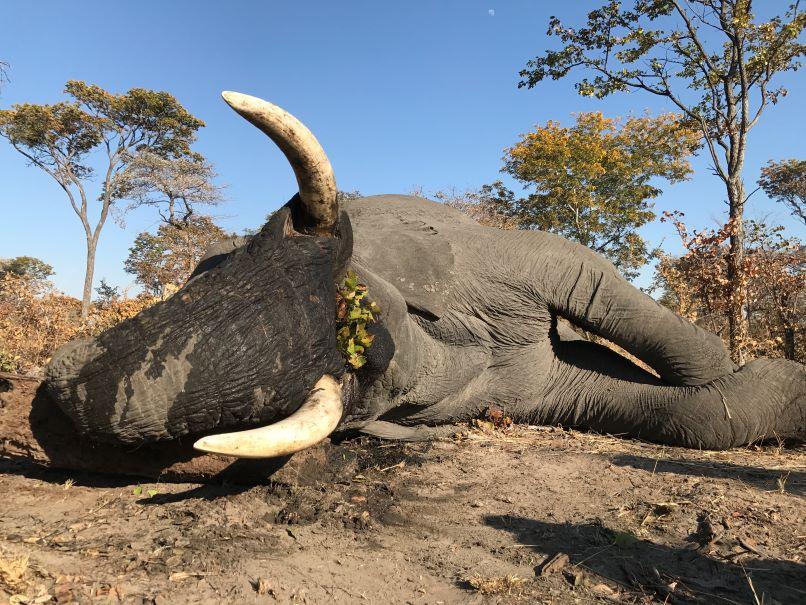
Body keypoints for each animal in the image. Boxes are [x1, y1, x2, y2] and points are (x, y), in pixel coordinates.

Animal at [13, 92, 805, 476]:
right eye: (196, 281)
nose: (59, 397)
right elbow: (650, 408)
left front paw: (753, 376)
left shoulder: (491, 258)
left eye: (363, 310)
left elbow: (585, 275)